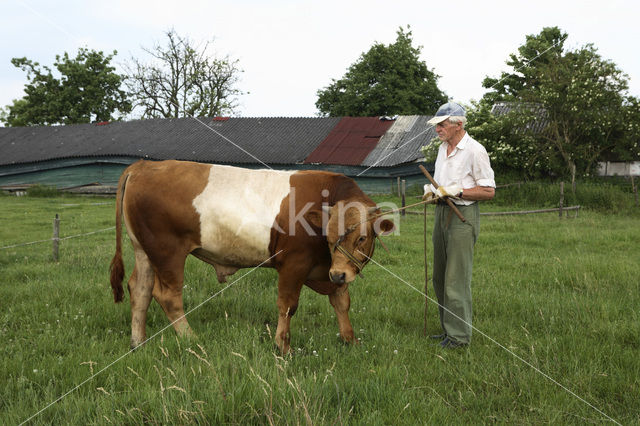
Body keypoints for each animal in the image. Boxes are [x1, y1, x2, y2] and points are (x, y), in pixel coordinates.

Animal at [109, 160, 396, 352]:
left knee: (140, 290)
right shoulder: (294, 264)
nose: (339, 274)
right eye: (329, 237)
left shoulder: (332, 267)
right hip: (168, 252)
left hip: (144, 250)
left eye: (362, 238)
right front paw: (282, 346)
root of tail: (145, 165)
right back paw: (191, 338)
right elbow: (287, 305)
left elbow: (341, 301)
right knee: (167, 296)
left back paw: (138, 341)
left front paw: (350, 340)